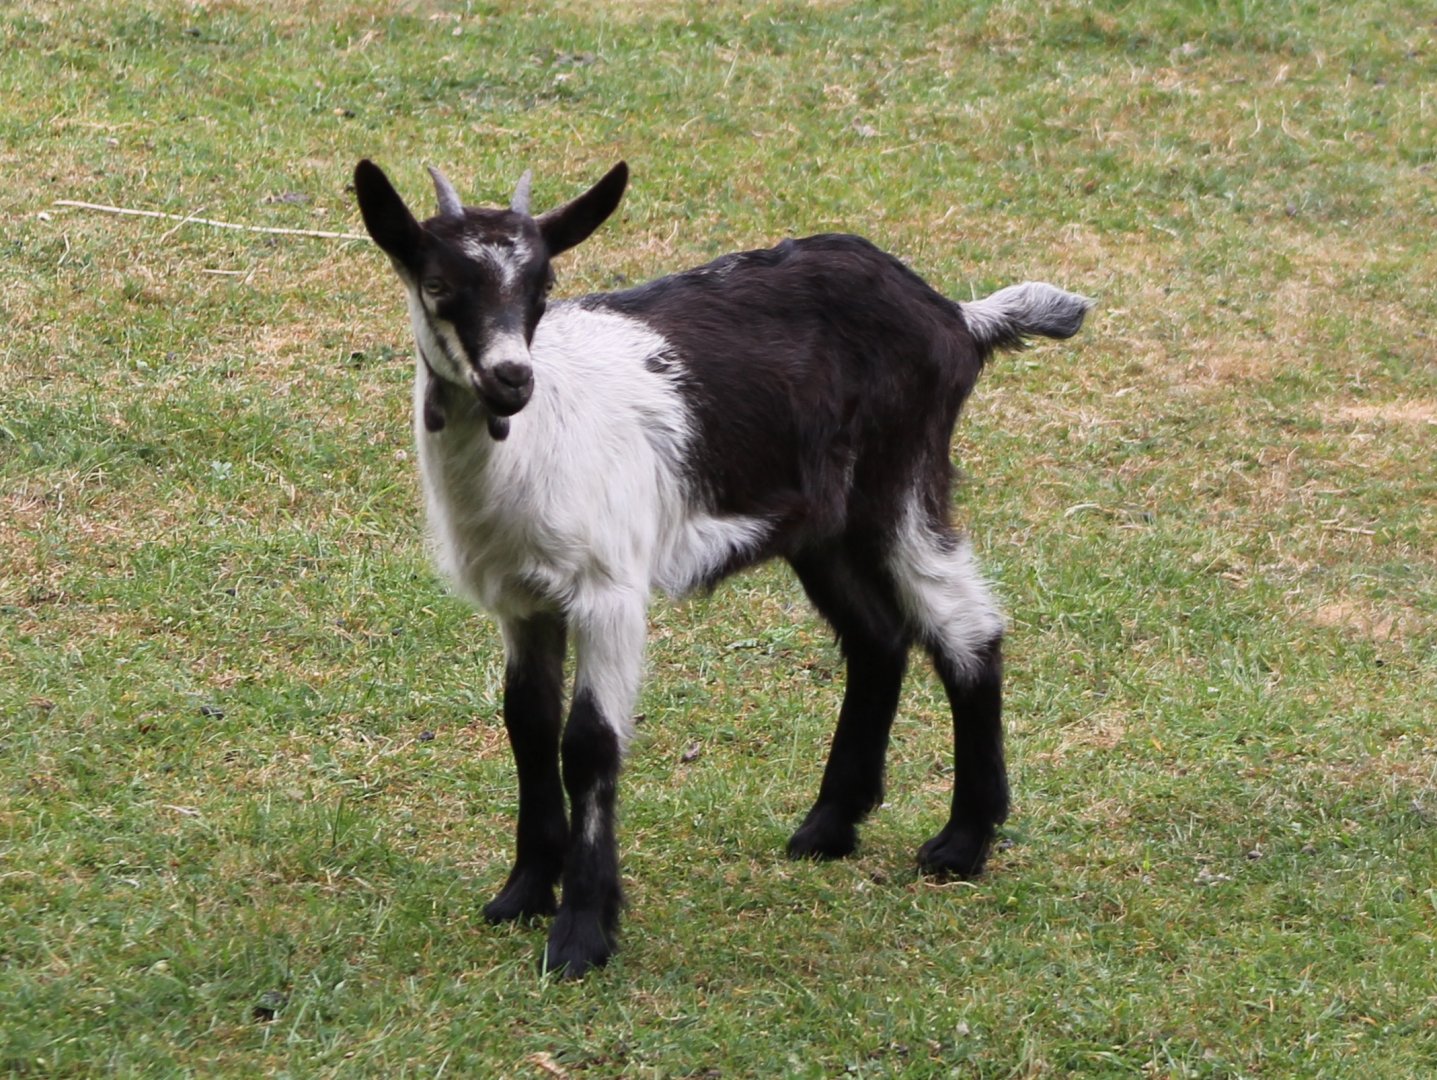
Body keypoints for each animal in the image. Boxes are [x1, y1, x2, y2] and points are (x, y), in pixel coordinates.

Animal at [353, 159, 1091, 978]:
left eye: (543, 286)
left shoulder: (608, 589)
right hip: (821, 525)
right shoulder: (522, 600)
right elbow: (527, 725)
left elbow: (588, 743)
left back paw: (961, 844)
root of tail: (955, 316)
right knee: (877, 637)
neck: (534, 443)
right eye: (438, 285)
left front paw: (581, 934)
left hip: (900, 481)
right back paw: (828, 827)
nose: (513, 379)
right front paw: (520, 895)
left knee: (966, 628)